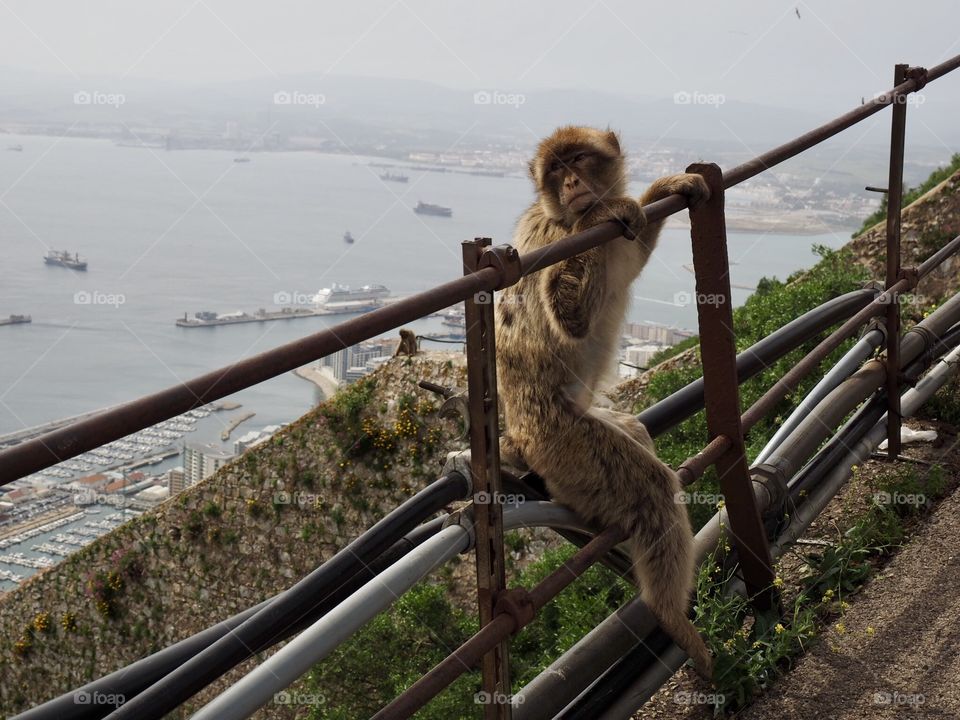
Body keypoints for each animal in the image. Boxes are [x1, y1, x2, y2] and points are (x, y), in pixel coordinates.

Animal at [496, 126, 712, 676]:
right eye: (555, 171)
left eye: (577, 159)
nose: (573, 182)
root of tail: (519, 439)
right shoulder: (548, 240)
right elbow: (568, 315)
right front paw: (601, 210)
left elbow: (633, 252)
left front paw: (661, 189)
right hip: (564, 446)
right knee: (651, 490)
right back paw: (668, 614)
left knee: (633, 432)